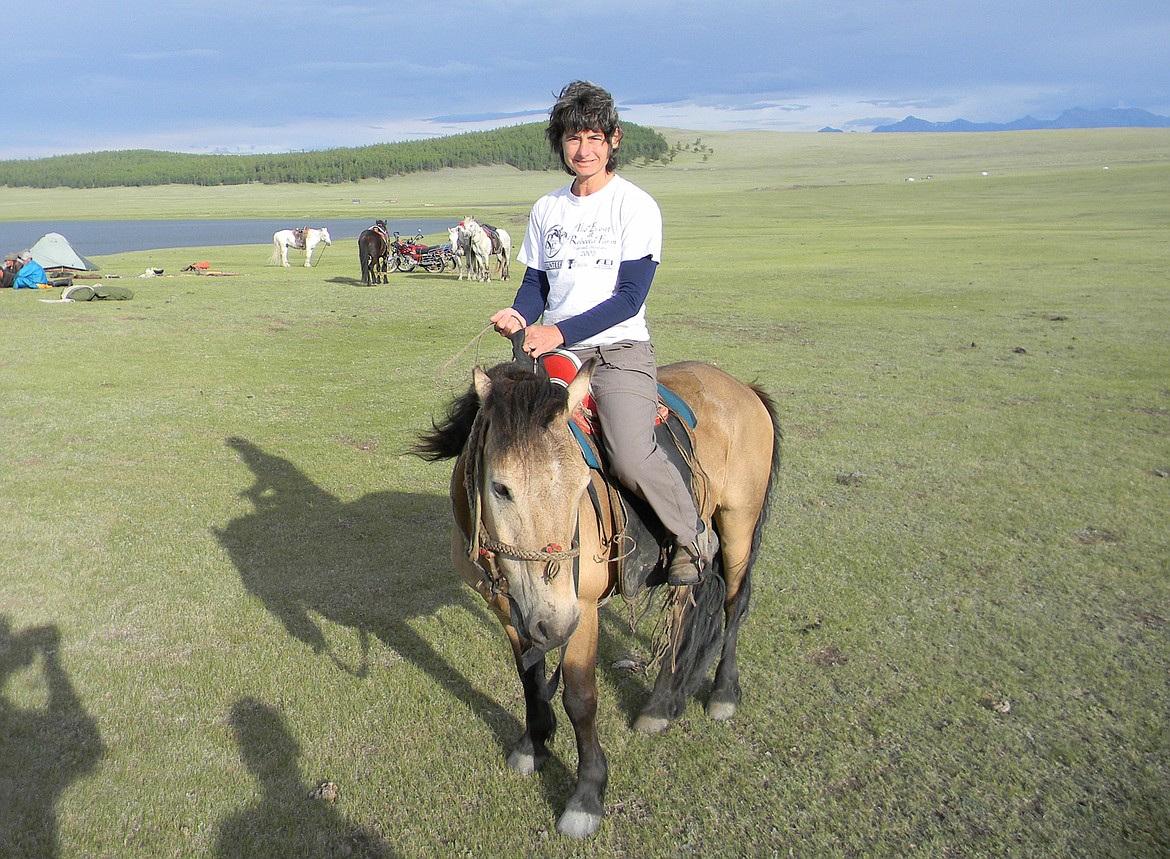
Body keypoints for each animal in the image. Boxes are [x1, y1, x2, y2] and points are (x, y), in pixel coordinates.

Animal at [416, 346, 781, 837]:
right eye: (501, 488)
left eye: (581, 484)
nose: (555, 623)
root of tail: (743, 387)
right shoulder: (508, 607)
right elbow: (530, 677)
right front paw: (533, 745)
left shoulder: (583, 610)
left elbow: (581, 698)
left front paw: (587, 794)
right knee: (685, 611)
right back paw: (660, 704)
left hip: (739, 520)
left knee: (734, 604)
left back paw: (723, 692)